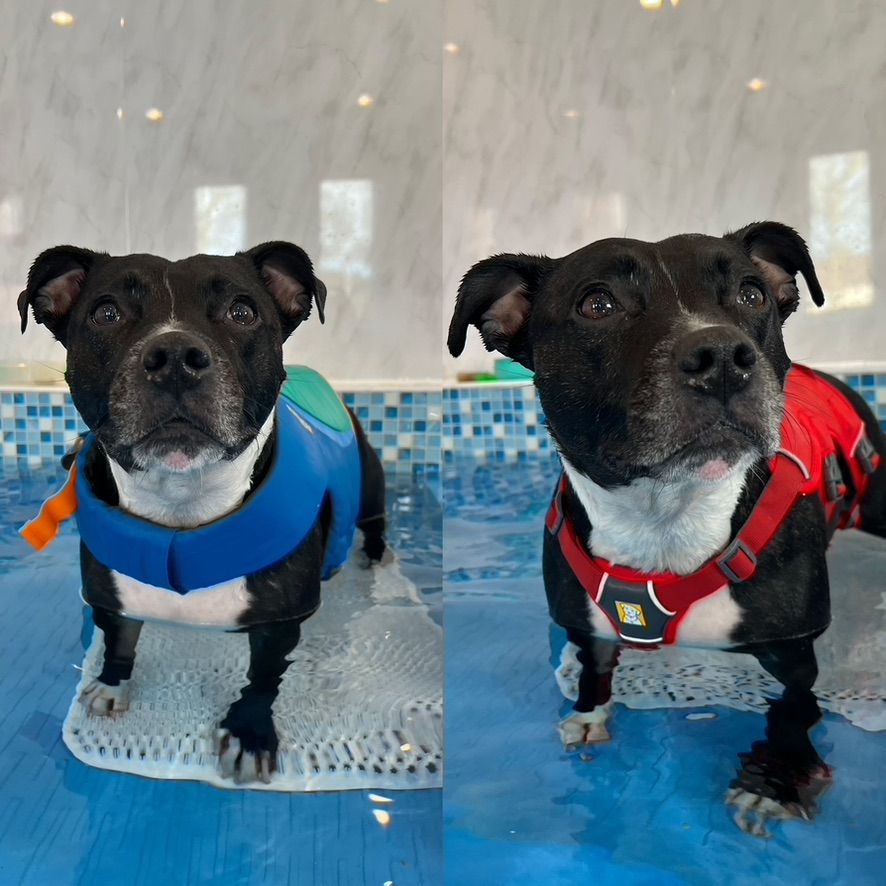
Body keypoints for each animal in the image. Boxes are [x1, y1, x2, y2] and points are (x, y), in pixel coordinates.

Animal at [19, 241, 386, 784]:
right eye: (106, 313)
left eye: (242, 311)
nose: (174, 356)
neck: (181, 506)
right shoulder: (111, 598)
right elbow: (119, 640)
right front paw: (111, 683)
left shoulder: (280, 621)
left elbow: (263, 679)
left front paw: (249, 733)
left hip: (371, 491)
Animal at [450, 224, 886, 840]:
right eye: (598, 304)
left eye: (751, 293)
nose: (722, 355)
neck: (664, 518)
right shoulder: (586, 627)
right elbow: (593, 671)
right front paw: (587, 715)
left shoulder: (795, 653)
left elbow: (793, 709)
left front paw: (774, 781)